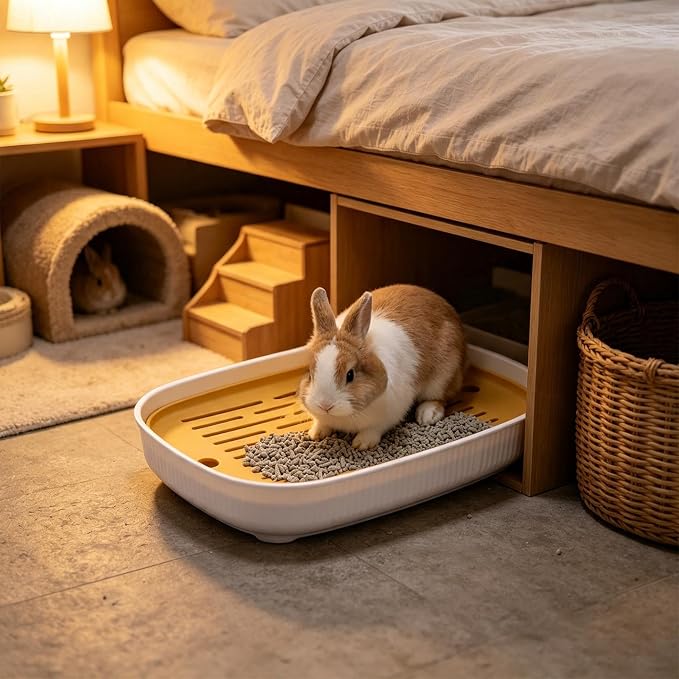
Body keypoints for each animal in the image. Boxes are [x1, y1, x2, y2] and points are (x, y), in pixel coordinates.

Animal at [298, 284, 467, 450]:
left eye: (350, 375)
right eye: (310, 374)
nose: (325, 405)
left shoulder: (389, 415)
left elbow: (374, 429)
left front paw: (362, 443)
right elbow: (322, 422)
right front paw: (315, 433)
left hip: (443, 377)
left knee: (441, 397)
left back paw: (427, 415)